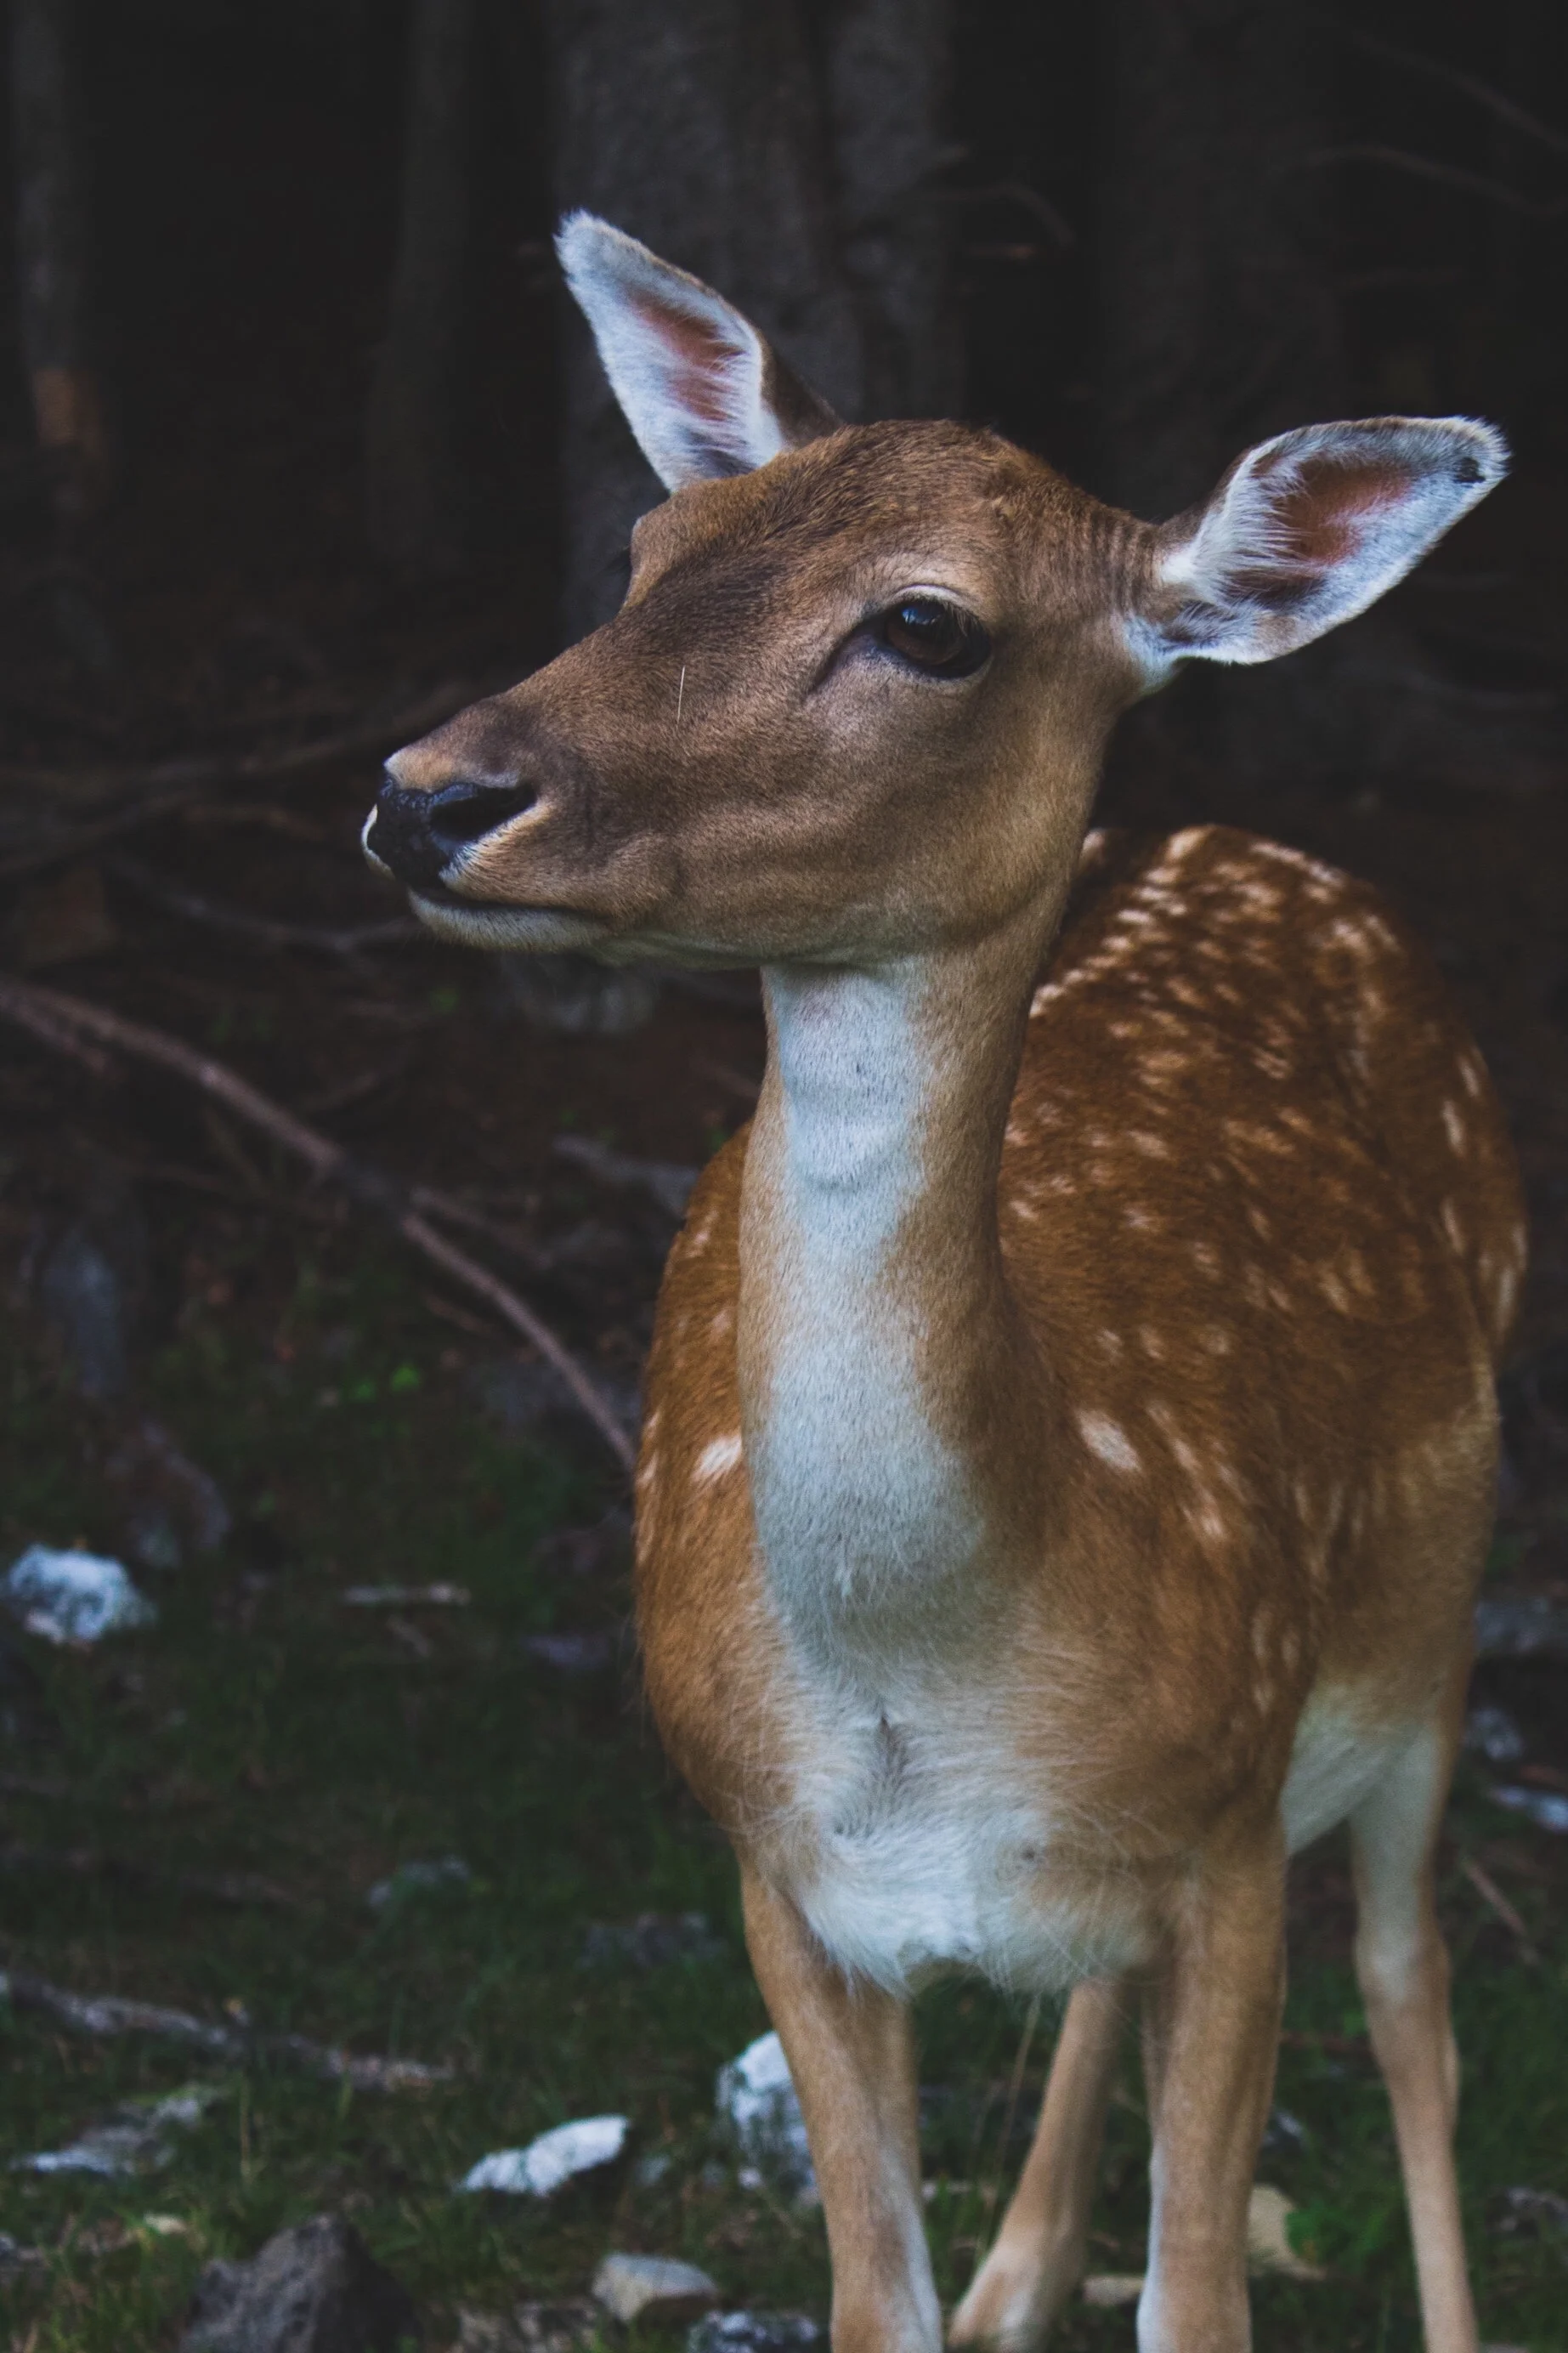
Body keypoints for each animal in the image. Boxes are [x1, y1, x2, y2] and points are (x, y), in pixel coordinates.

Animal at [363, 216, 1525, 2353]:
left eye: (927, 625)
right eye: (653, 546)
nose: (427, 791)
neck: (935, 1671)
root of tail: (1251, 837)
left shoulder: (1232, 1818)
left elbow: (1203, 2295)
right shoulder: (774, 1868)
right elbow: (871, 2299)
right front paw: (968, 2283)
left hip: (1430, 1629)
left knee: (1412, 1996)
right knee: (1103, 1992)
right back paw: (1014, 2274)